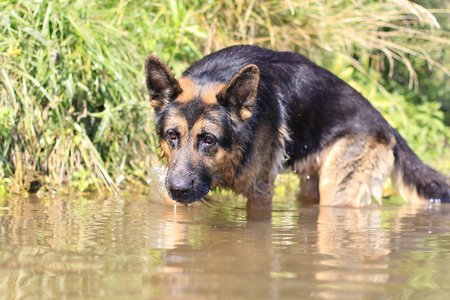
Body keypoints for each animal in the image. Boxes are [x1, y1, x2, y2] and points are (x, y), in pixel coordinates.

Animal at [145, 45, 450, 209]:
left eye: (208, 139)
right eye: (172, 136)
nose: (178, 189)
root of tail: (386, 123)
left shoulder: (260, 194)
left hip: (337, 190)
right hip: (312, 185)